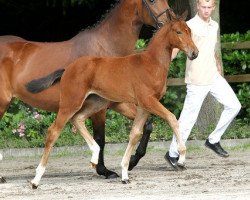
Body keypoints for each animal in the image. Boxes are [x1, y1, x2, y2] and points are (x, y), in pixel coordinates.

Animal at [0, 0, 171, 182]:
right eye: (151, 1)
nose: (169, 22)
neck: (105, 49)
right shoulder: (101, 109)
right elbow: (100, 138)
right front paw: (104, 170)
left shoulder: (118, 103)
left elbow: (147, 125)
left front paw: (131, 162)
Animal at [26, 10, 198, 188]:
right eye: (178, 32)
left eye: (190, 31)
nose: (194, 53)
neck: (151, 63)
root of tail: (68, 69)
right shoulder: (148, 100)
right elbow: (172, 118)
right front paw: (181, 159)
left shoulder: (143, 106)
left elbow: (135, 133)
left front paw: (125, 173)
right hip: (70, 103)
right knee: (54, 131)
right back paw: (36, 180)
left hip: (96, 103)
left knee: (78, 119)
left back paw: (94, 157)